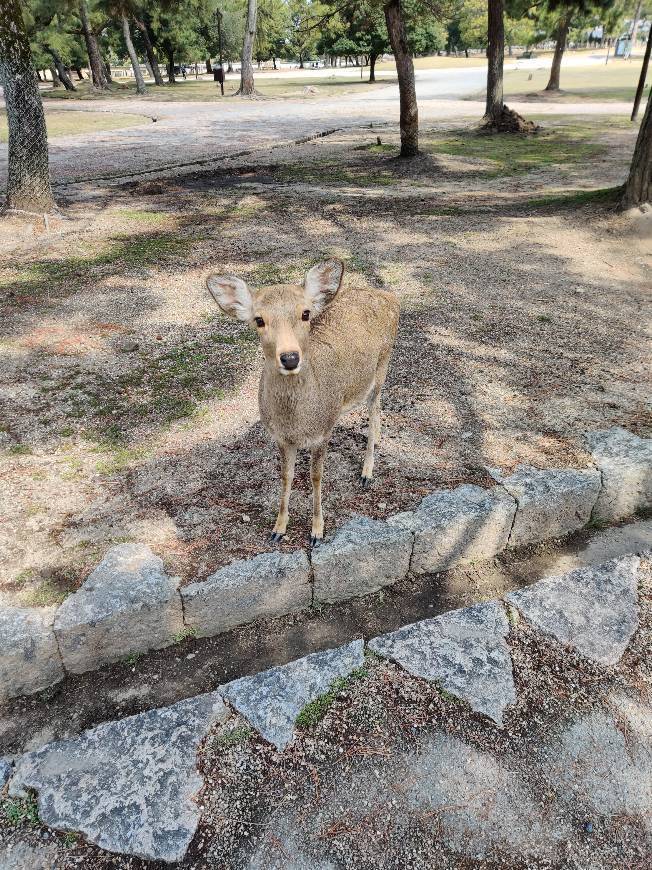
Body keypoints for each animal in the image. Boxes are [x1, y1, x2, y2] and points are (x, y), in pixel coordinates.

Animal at [206, 258, 400, 544]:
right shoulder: (281, 438)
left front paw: (317, 531)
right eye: (259, 319)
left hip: (382, 366)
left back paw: (367, 472)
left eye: (306, 314)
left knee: (375, 409)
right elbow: (286, 476)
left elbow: (315, 477)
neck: (297, 423)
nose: (289, 358)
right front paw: (278, 529)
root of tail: (390, 298)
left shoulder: (323, 432)